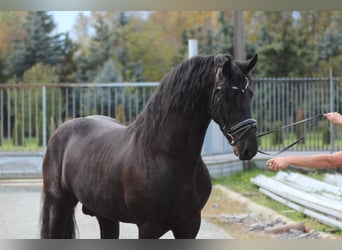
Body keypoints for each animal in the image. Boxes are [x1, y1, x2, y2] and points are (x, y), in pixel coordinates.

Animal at [40, 52, 258, 238]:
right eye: (229, 95)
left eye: (250, 93)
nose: (249, 147)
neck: (165, 155)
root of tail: (60, 132)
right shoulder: (148, 227)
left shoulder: (190, 225)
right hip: (59, 206)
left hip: (106, 215)